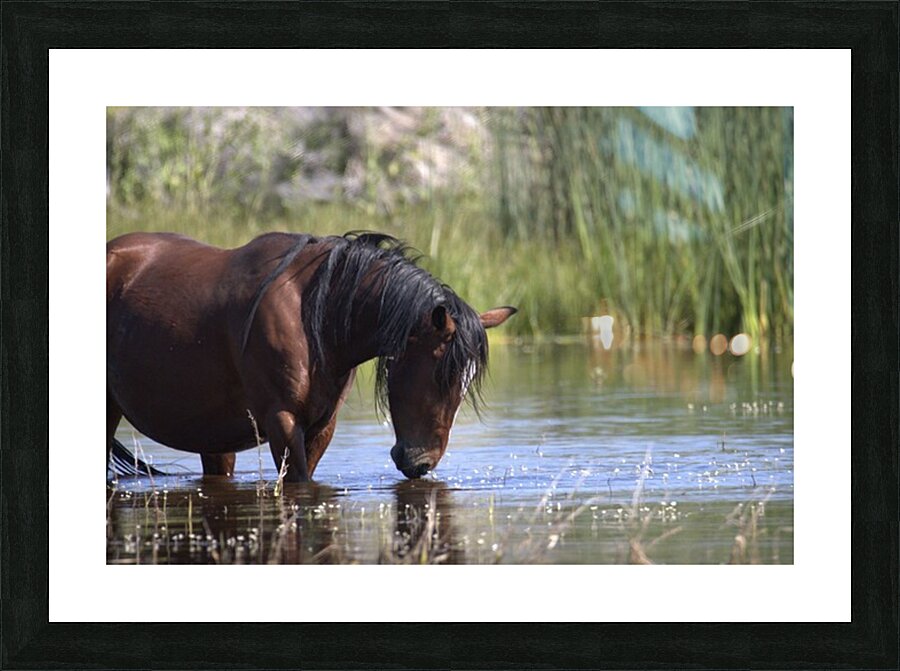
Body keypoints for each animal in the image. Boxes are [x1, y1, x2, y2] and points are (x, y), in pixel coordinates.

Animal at [107, 231, 516, 482]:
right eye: (440, 375)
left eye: (464, 384)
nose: (421, 462)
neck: (315, 314)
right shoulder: (282, 422)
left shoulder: (321, 427)